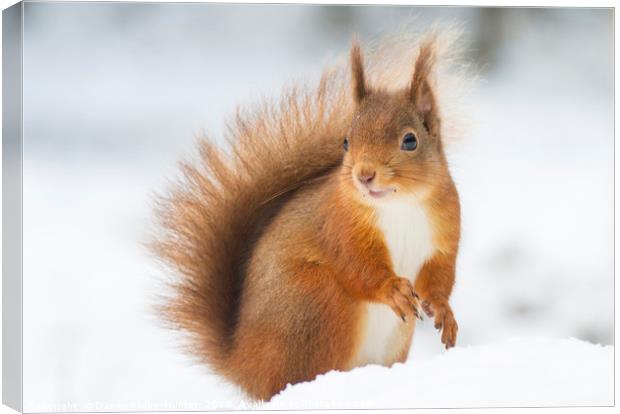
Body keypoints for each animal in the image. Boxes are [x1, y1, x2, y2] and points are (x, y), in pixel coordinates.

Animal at [155, 34, 460, 402]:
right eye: (346, 141)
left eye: (410, 140)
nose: (364, 175)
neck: (400, 206)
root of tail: (244, 367)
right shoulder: (339, 227)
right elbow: (360, 268)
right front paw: (393, 289)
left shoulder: (444, 234)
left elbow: (439, 277)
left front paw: (444, 310)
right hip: (316, 302)